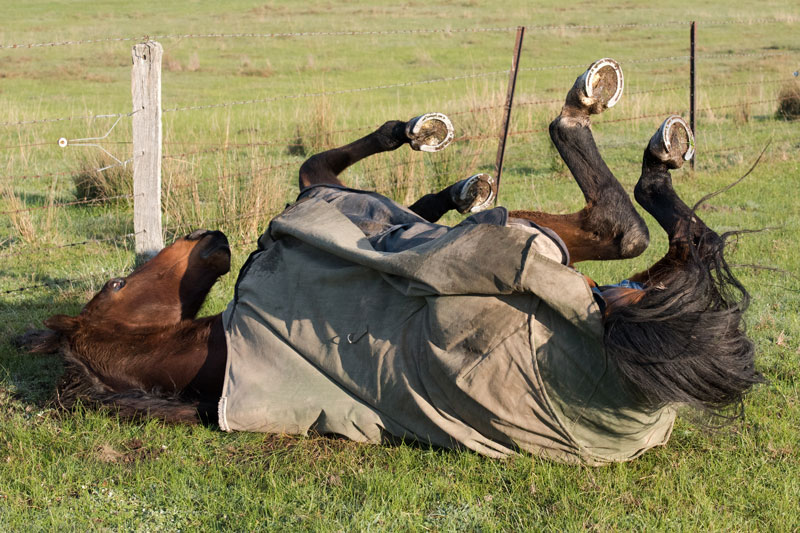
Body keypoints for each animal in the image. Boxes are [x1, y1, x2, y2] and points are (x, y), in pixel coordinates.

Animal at [23, 58, 762, 464]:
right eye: (119, 280)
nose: (209, 236)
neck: (216, 354)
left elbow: (407, 196)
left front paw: (456, 177)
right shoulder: (323, 197)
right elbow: (324, 161)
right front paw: (423, 140)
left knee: (644, 233)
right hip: (549, 254)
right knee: (624, 222)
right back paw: (605, 117)